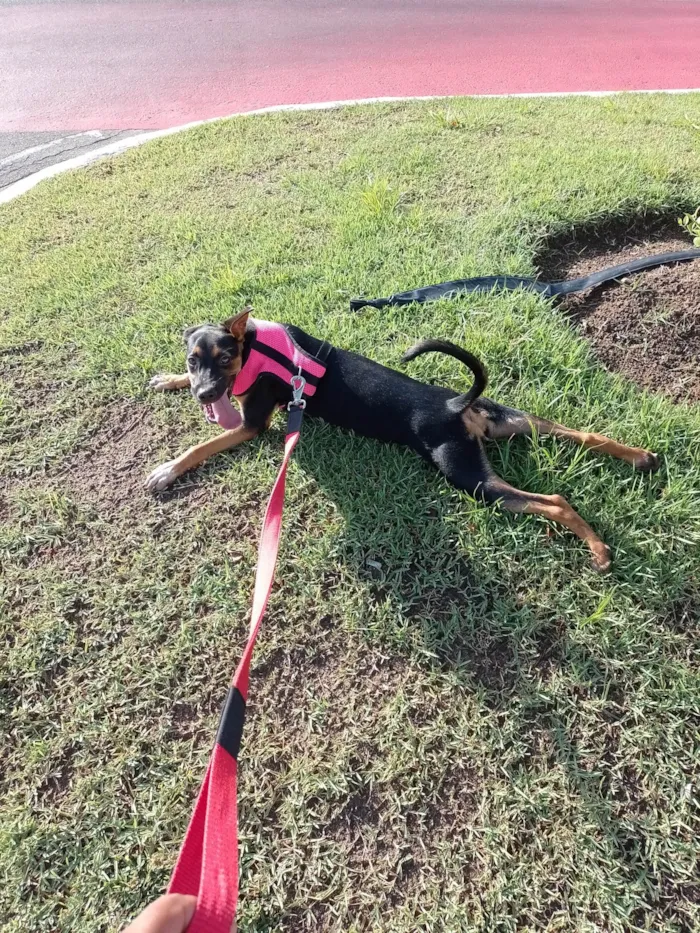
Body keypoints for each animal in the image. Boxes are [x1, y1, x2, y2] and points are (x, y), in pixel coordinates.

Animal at [145, 308, 660, 568]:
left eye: (224, 358)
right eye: (193, 360)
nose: (205, 394)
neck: (255, 345)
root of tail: (455, 406)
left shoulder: (250, 424)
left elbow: (201, 445)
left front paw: (166, 470)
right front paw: (167, 380)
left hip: (469, 477)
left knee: (554, 500)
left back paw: (598, 551)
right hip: (508, 421)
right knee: (582, 434)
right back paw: (640, 458)